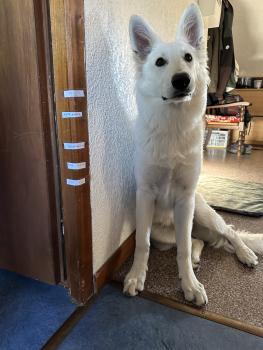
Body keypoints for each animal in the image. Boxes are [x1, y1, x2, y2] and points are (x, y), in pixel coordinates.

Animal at [124, 4, 263, 306]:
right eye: (160, 62)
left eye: (188, 58)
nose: (182, 80)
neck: (172, 126)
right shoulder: (145, 196)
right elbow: (142, 243)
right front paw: (136, 275)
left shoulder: (185, 199)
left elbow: (184, 249)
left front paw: (190, 285)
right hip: (164, 232)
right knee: (195, 241)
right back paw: (201, 257)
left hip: (199, 211)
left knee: (227, 232)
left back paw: (245, 253)